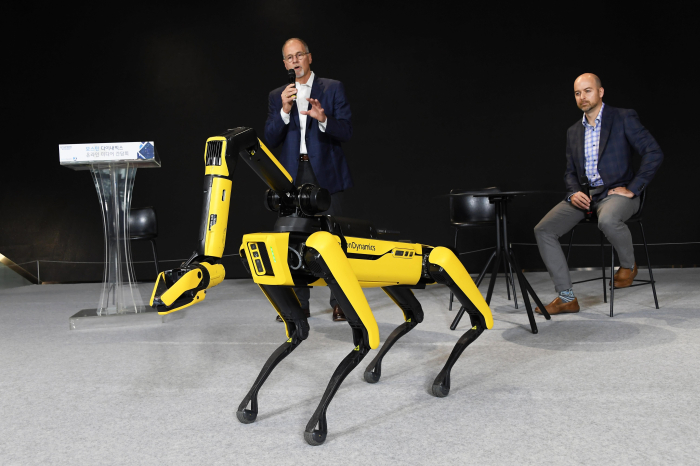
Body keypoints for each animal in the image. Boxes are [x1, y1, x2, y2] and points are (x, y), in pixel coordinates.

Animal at [151, 126, 494, 444]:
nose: (164, 297)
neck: (296, 232)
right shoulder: (269, 273)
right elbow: (297, 332)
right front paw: (250, 405)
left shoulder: (324, 250)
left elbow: (364, 336)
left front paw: (316, 425)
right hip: (396, 280)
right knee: (414, 315)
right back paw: (378, 367)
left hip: (433, 263)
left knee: (473, 309)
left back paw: (444, 375)